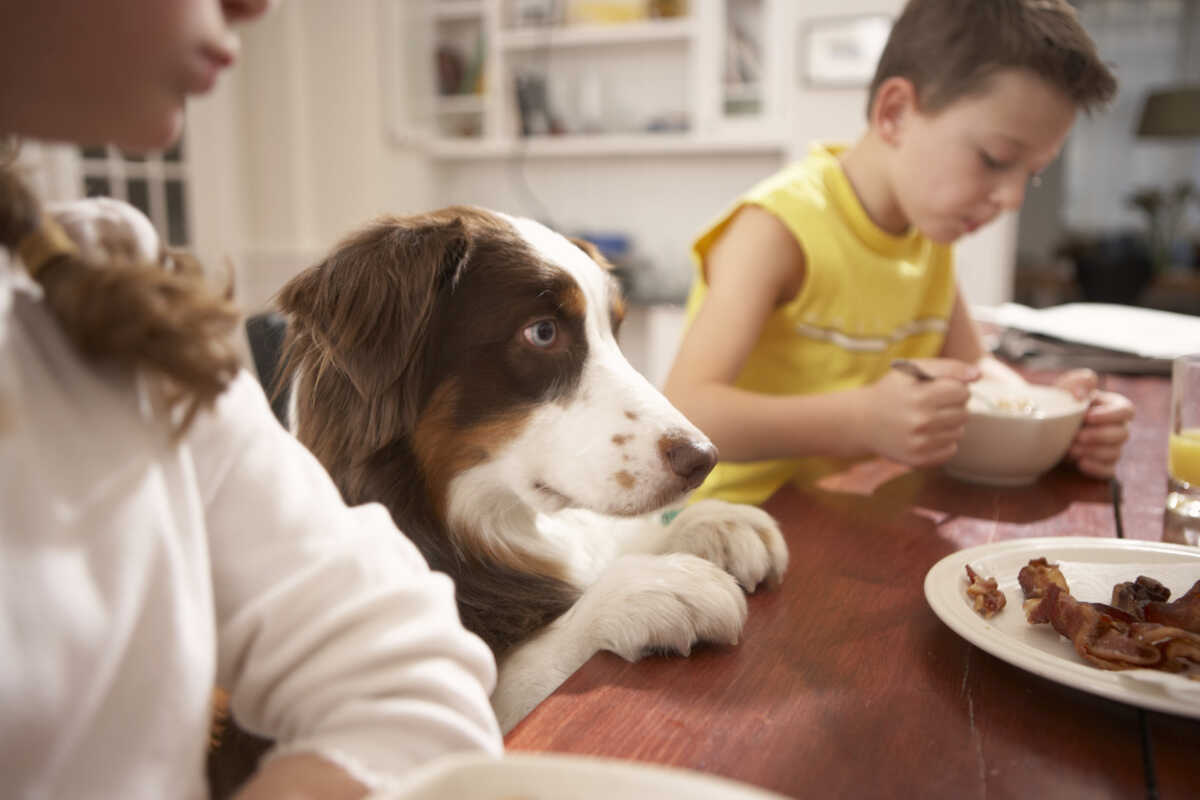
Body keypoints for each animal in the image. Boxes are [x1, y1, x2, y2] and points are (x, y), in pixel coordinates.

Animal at [274, 206, 787, 734]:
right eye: (543, 332)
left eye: (614, 332)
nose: (703, 459)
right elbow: (524, 664)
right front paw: (654, 587)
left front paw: (714, 523)